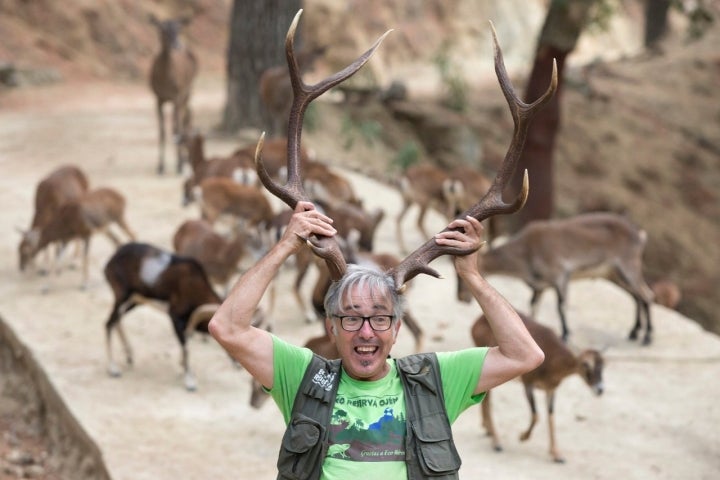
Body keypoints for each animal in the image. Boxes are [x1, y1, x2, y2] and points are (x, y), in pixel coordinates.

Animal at [149, 13, 198, 176]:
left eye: (179, 29)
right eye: (163, 29)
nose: (176, 45)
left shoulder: (176, 95)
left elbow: (176, 129)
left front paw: (179, 165)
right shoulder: (158, 97)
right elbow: (162, 131)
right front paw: (160, 167)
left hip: (188, 91)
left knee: (184, 120)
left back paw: (183, 160)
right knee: (184, 118)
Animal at [462, 212, 660, 344]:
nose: (462, 298)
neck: (526, 251)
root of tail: (640, 234)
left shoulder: (560, 275)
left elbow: (561, 306)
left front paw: (565, 334)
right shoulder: (540, 286)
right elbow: (533, 305)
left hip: (628, 266)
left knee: (646, 294)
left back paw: (648, 336)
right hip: (615, 274)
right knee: (636, 296)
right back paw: (634, 332)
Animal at [470, 314, 604, 464]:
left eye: (603, 365)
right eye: (586, 364)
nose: (600, 389)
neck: (553, 359)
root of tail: (478, 321)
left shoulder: (550, 390)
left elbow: (550, 417)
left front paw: (557, 454)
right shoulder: (528, 384)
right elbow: (536, 415)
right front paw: (523, 437)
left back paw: (487, 430)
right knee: (487, 400)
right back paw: (496, 442)